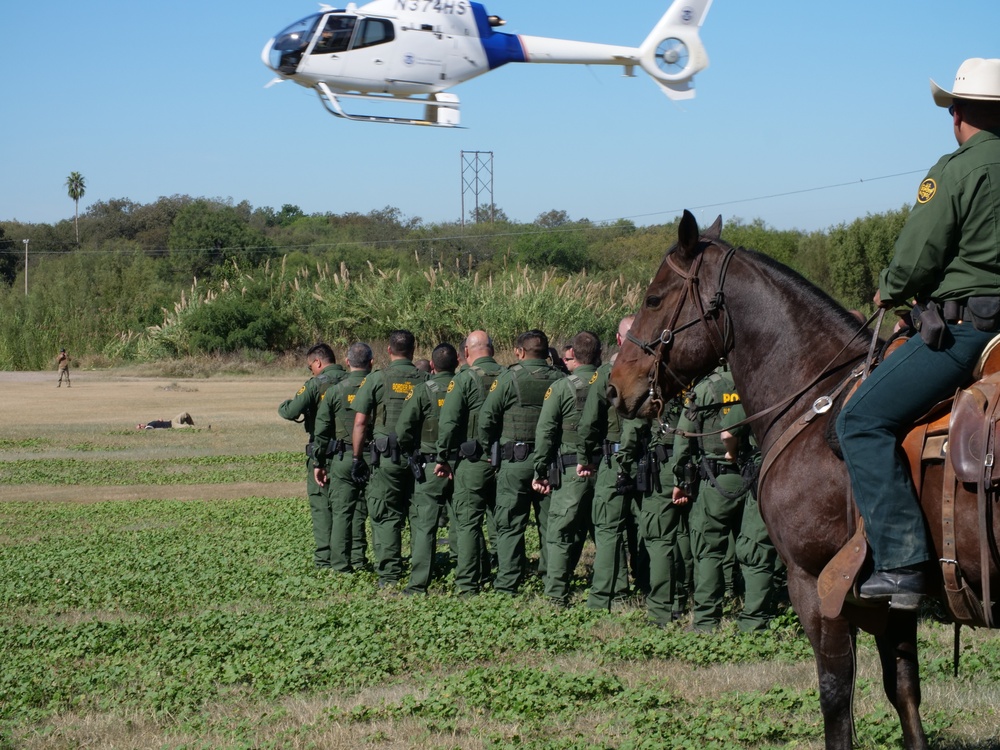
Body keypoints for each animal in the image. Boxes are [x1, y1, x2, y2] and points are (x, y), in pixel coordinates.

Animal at [608, 210, 1000, 750]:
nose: (615, 386)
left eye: (653, 298)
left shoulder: (817, 586)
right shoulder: (896, 603)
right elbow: (904, 692)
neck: (816, 401)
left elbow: (836, 701)